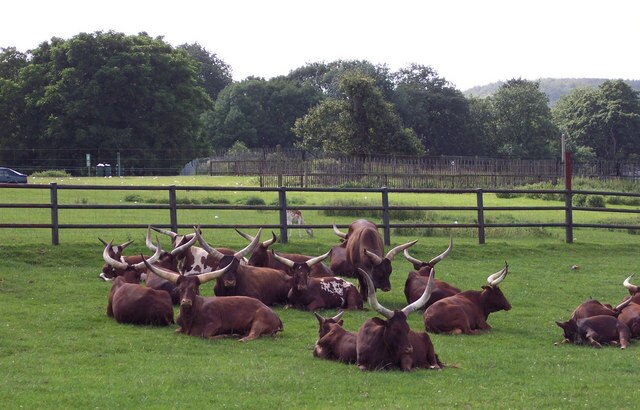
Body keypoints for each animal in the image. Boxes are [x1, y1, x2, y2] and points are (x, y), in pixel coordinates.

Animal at [142, 258, 283, 341]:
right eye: (180, 289)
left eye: (194, 289)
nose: (186, 302)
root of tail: (275, 315)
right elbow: (176, 331)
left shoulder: (214, 323)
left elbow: (205, 335)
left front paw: (228, 334)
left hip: (259, 320)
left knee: (253, 335)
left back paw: (239, 336)